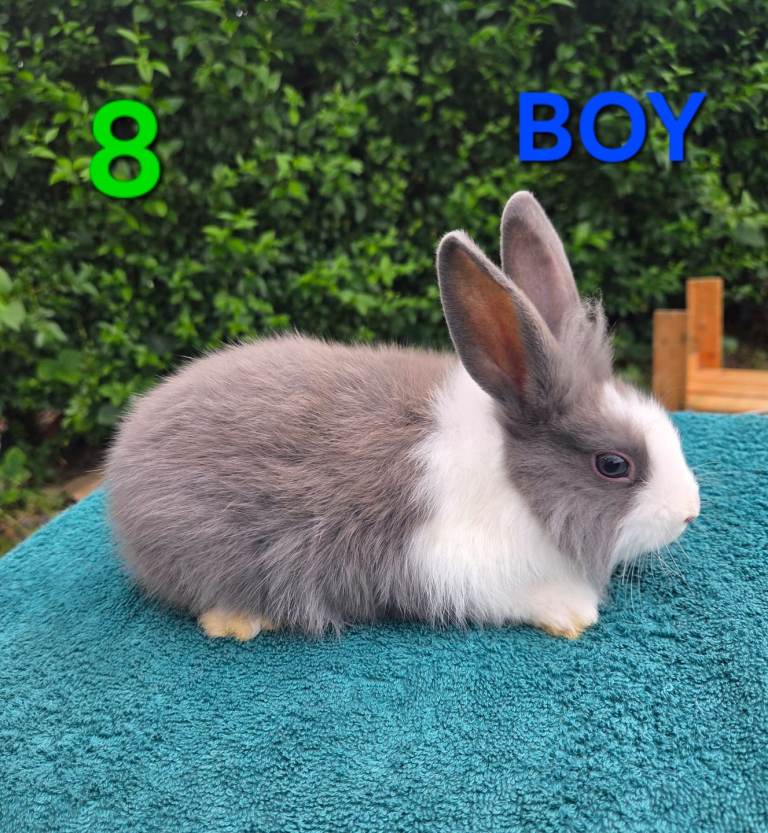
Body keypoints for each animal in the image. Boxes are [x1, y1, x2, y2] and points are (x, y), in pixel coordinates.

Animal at [106, 191, 700, 641]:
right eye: (613, 465)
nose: (689, 512)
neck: (513, 477)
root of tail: (125, 452)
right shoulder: (456, 567)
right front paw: (574, 614)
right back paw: (238, 621)